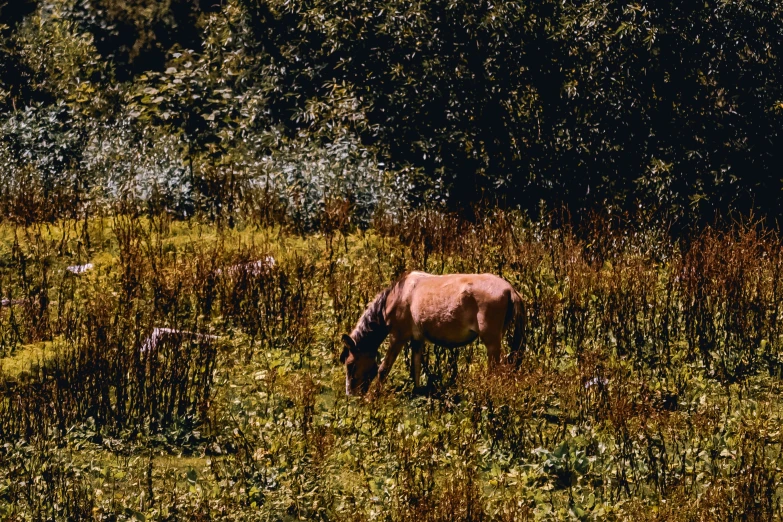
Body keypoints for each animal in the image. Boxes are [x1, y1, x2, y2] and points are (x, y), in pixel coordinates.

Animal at [340, 272, 524, 394]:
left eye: (350, 364)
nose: (350, 394)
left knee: (497, 370)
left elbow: (383, 369)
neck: (398, 295)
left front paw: (375, 397)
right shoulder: (417, 339)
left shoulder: (398, 336)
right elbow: (415, 368)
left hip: (491, 341)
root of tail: (510, 289)